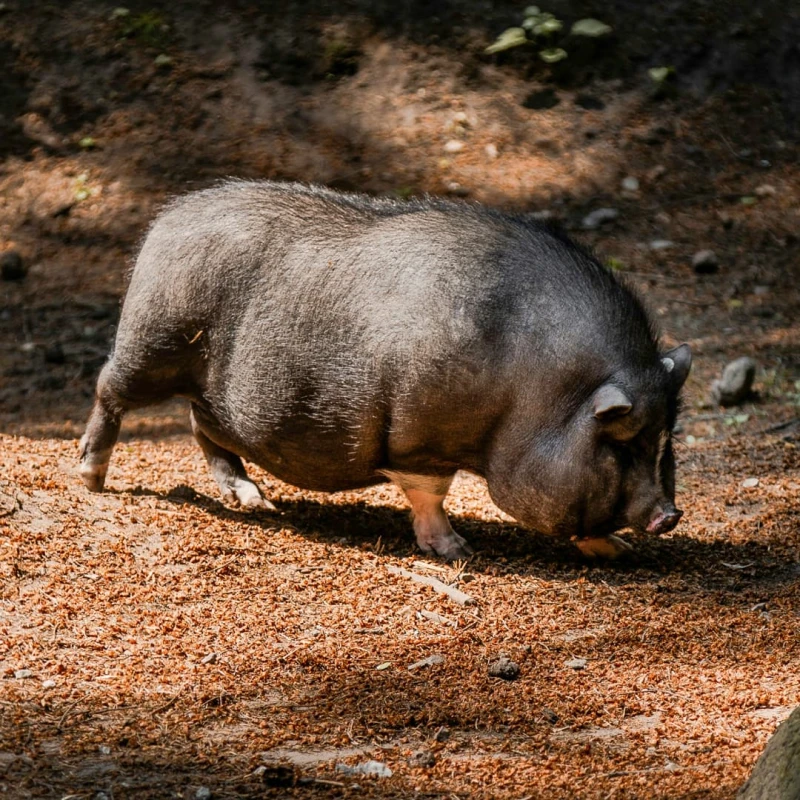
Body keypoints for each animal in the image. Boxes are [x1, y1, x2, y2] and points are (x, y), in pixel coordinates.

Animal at [79, 181, 691, 560]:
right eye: (622, 442)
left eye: (666, 442)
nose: (669, 517)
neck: (534, 391)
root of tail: (169, 218)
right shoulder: (418, 435)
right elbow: (430, 492)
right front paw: (457, 551)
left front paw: (618, 551)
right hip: (152, 344)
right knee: (109, 391)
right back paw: (90, 478)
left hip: (213, 391)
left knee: (201, 429)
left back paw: (257, 501)